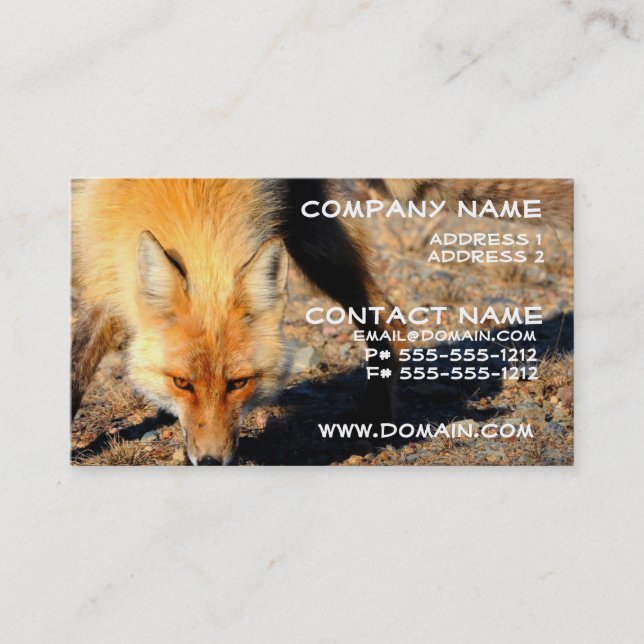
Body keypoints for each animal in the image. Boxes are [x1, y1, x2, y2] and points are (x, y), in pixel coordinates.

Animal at [71, 178, 572, 465]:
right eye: (181, 383)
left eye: (239, 384)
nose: (212, 462)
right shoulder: (100, 266)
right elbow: (75, 370)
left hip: (309, 228)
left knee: (386, 317)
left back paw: (376, 418)